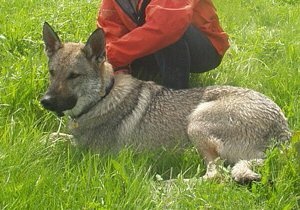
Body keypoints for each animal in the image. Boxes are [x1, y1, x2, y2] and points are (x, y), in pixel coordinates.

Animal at [39, 23, 290, 183]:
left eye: (74, 76)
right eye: (52, 72)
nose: (45, 101)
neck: (103, 97)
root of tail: (282, 131)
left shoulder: (87, 150)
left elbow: (52, 140)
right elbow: (49, 135)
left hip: (196, 122)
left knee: (215, 176)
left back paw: (164, 185)